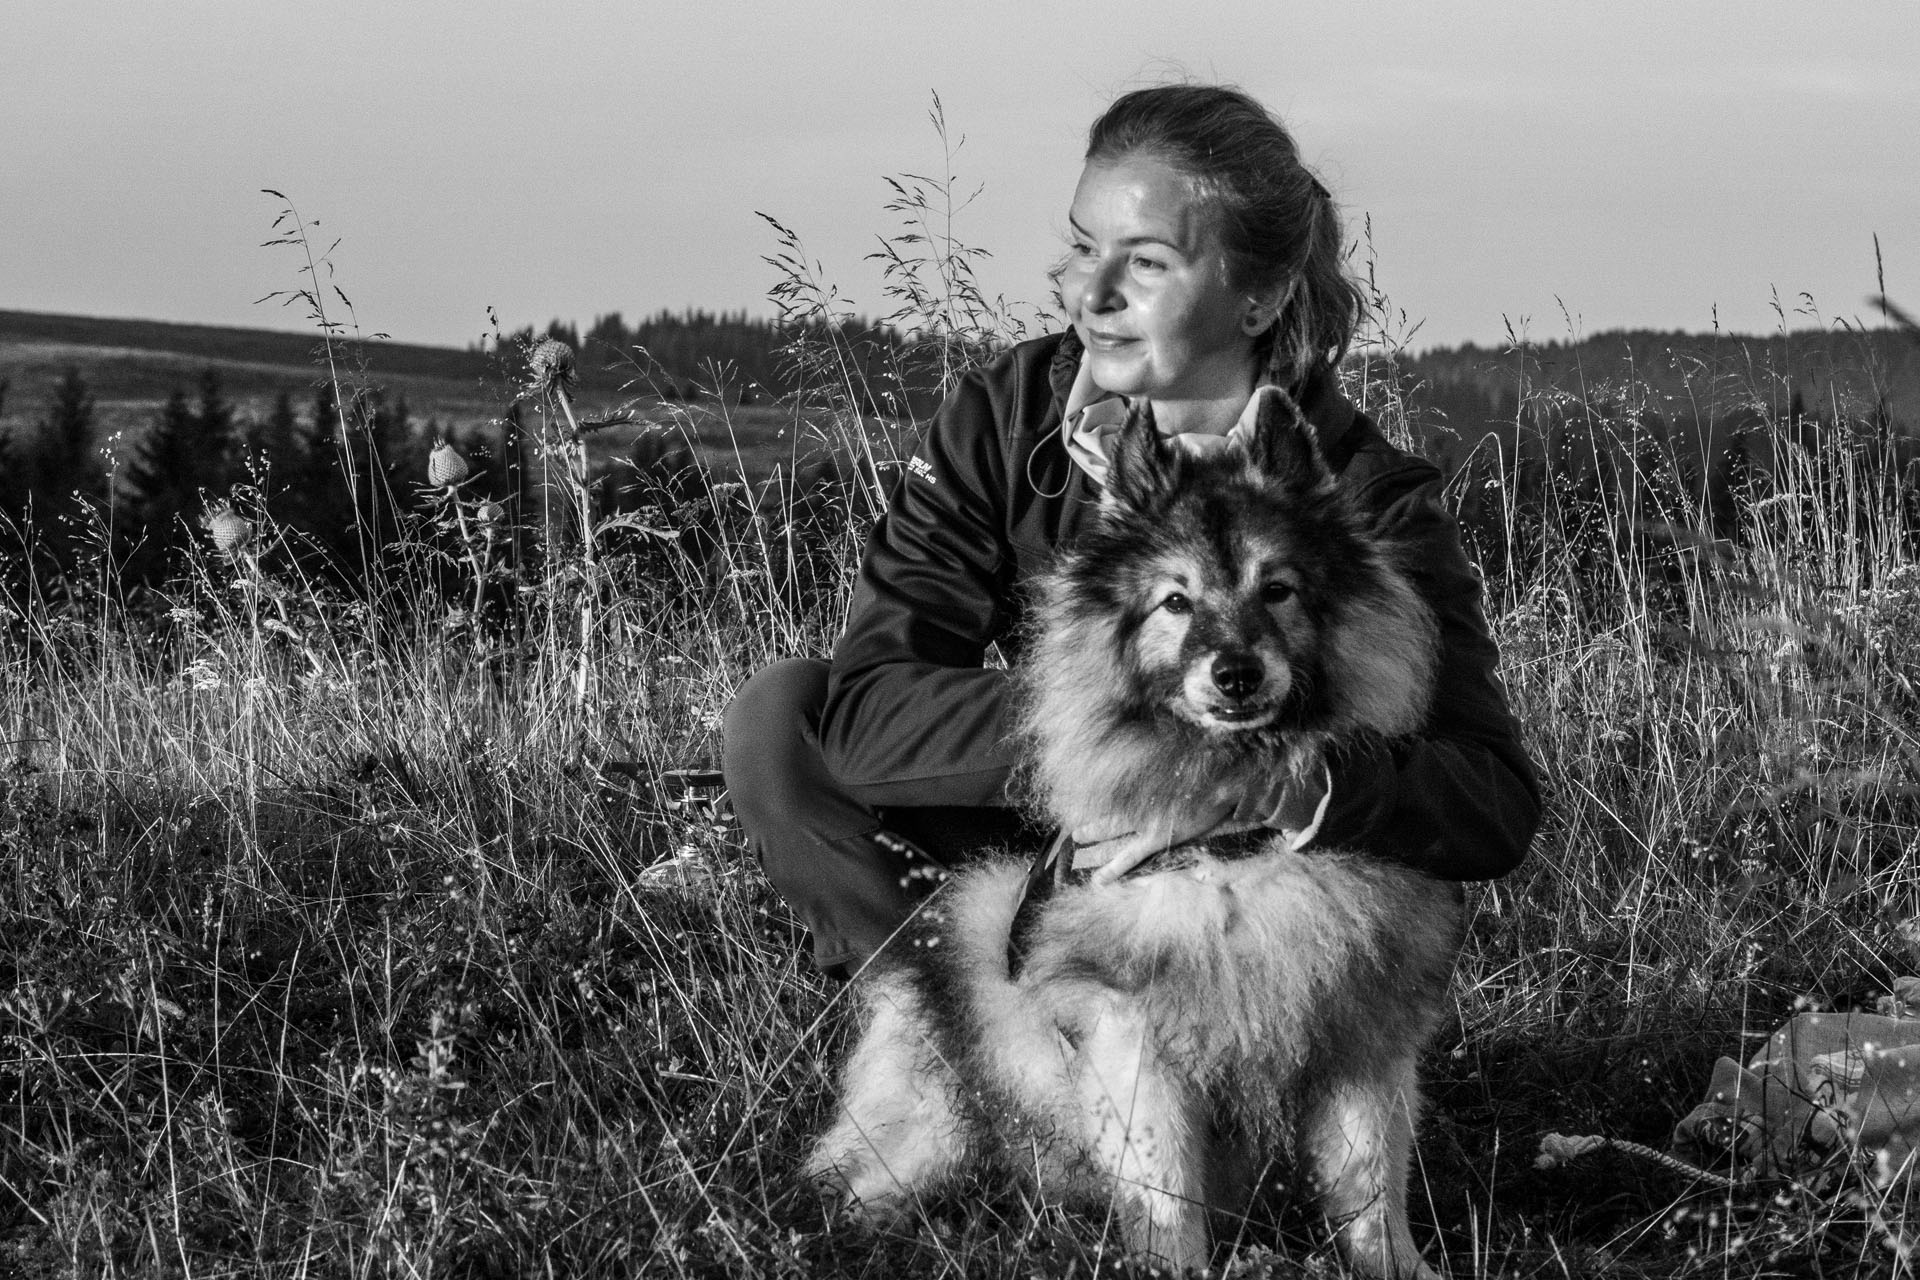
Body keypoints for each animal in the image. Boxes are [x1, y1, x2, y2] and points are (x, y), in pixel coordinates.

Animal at [806, 391, 1451, 1280]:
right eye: (1175, 602)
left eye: (1279, 589)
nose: (1237, 673)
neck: (1237, 855)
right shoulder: (1138, 1043)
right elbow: (1166, 1194)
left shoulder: (1363, 1039)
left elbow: (1371, 1186)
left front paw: (1398, 1267)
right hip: (939, 1119)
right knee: (863, 1182)